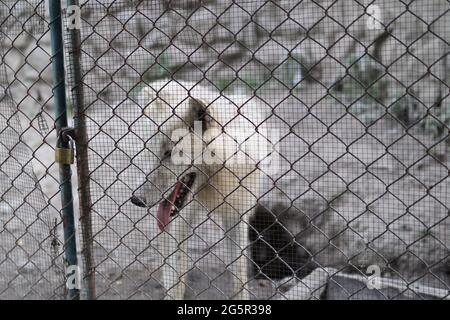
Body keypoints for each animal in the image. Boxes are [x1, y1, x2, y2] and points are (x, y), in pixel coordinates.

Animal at [131, 80, 278, 300]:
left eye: (169, 153)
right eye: (153, 152)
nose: (136, 200)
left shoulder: (237, 216)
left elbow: (239, 276)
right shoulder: (181, 222)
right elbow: (176, 276)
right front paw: (173, 291)